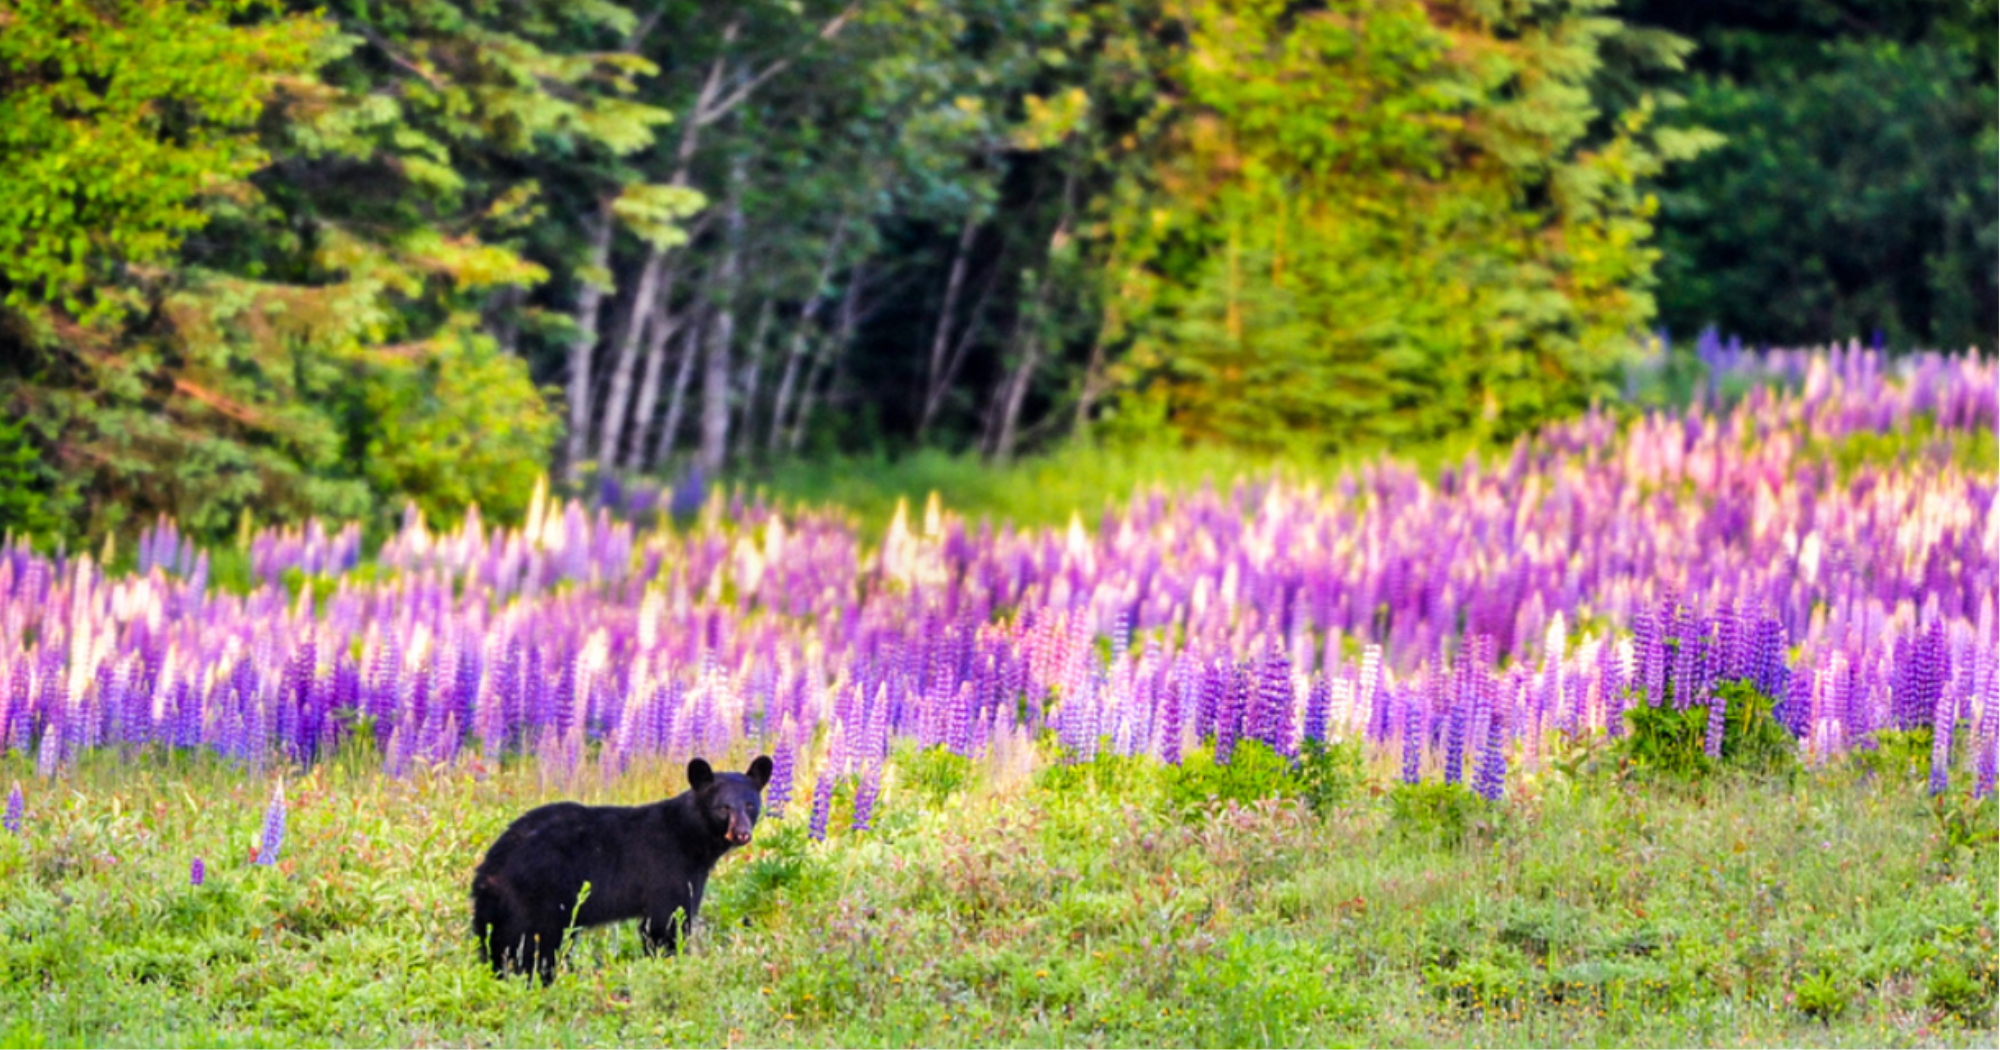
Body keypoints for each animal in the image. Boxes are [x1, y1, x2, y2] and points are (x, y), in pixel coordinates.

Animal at [470, 752, 772, 984]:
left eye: (750, 804)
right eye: (723, 808)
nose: (742, 833)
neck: (689, 836)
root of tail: (489, 869)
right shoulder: (669, 869)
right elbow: (666, 922)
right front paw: (669, 965)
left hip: (499, 908)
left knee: (497, 944)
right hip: (538, 897)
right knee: (536, 946)